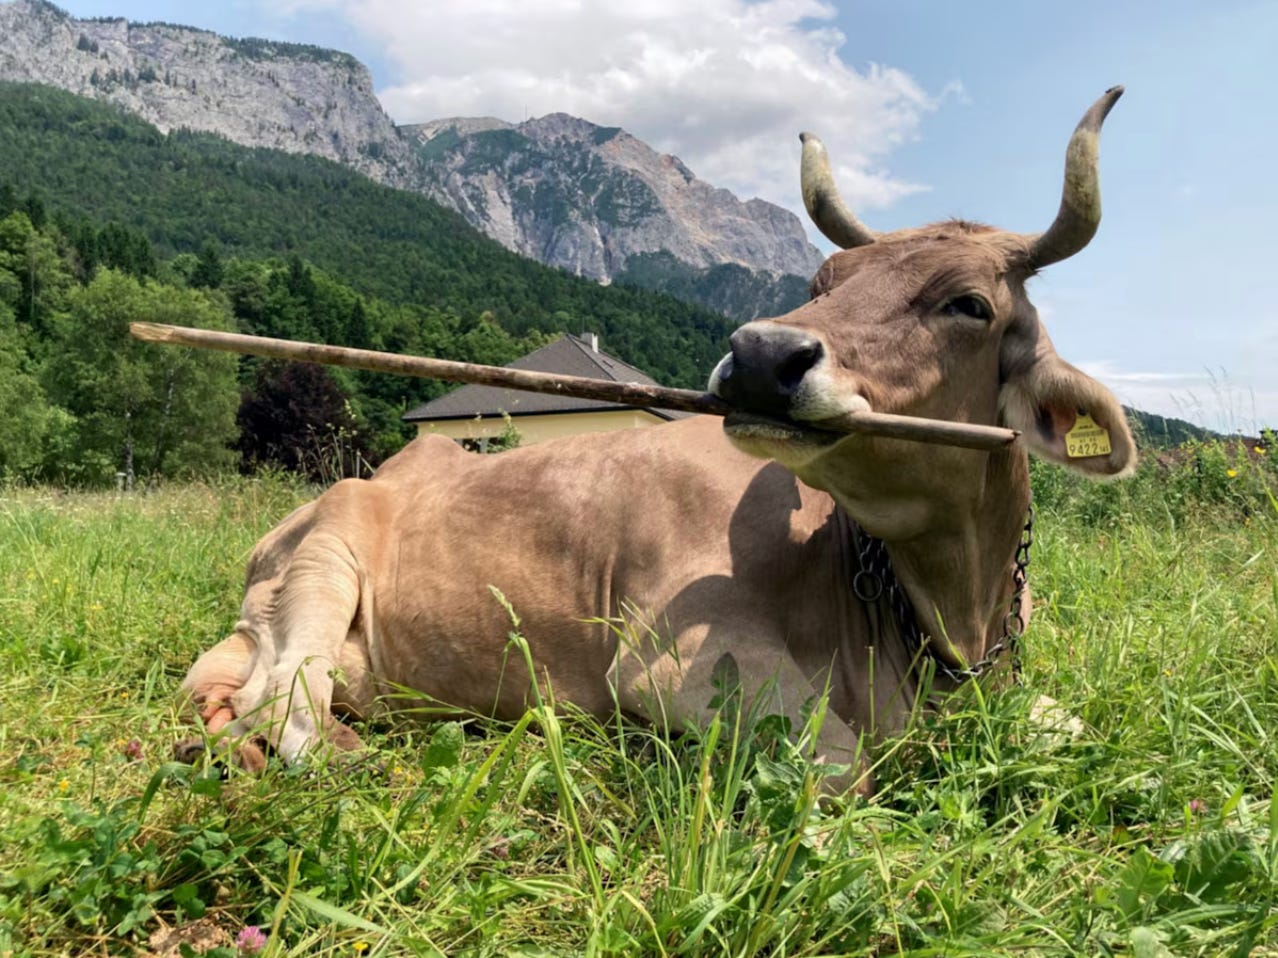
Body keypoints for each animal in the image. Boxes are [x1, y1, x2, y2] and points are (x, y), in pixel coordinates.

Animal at [178, 88, 1136, 793]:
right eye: (822, 281)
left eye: (968, 304)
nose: (761, 355)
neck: (948, 619)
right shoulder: (673, 664)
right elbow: (844, 767)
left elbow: (1081, 725)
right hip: (326, 556)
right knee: (286, 703)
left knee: (237, 690)